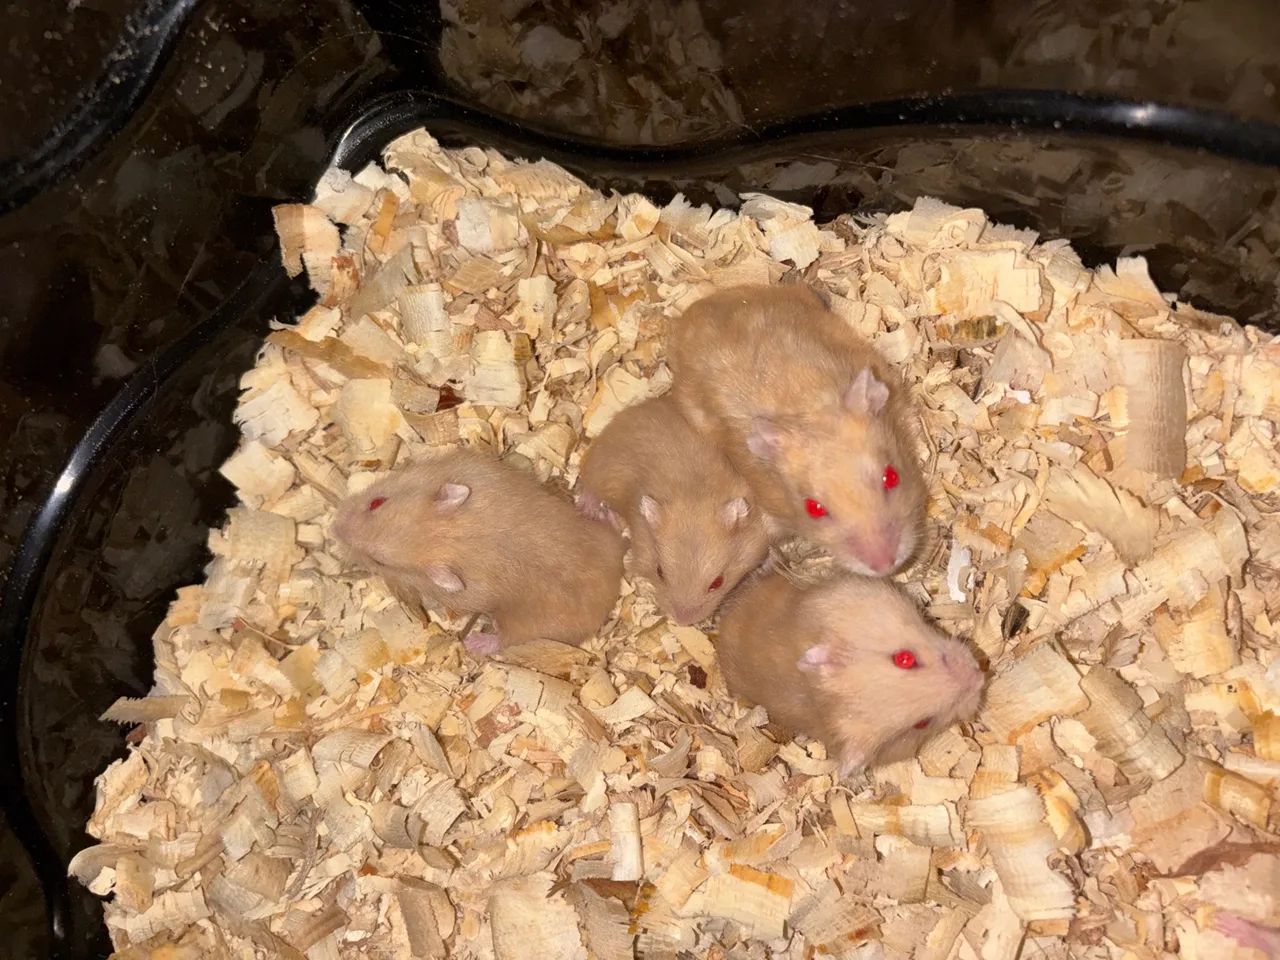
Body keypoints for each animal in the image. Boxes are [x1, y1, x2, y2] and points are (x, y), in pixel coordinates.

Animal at [333, 450, 625, 656]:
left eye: (379, 561)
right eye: (376, 502)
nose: (334, 527)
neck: (457, 536)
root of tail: (613, 587)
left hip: (532, 626)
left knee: (507, 640)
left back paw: (475, 642)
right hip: (596, 533)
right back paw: (594, 505)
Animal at [578, 394, 771, 625]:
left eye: (717, 582)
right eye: (660, 572)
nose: (682, 622)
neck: (693, 491)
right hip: (600, 467)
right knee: (589, 486)